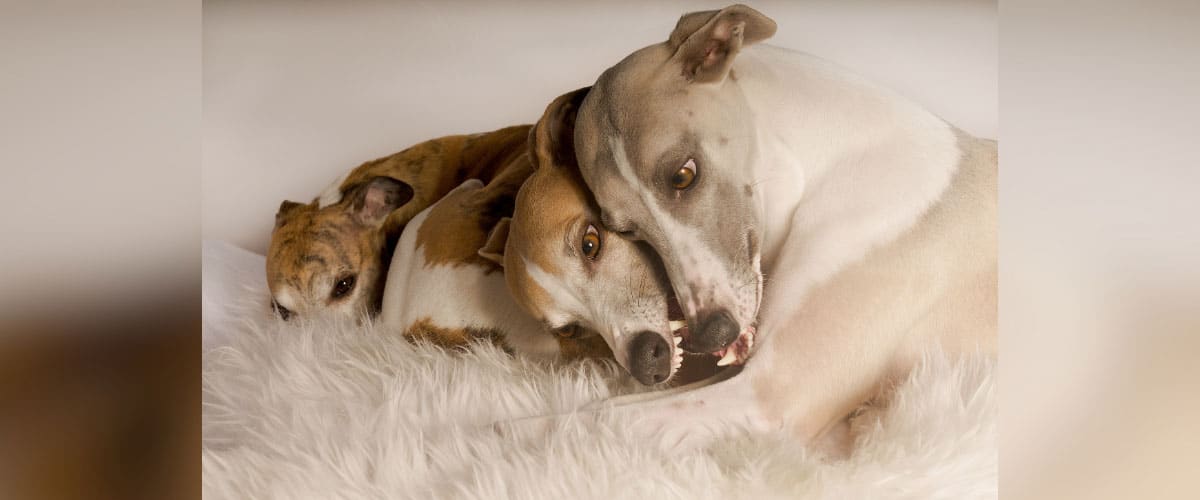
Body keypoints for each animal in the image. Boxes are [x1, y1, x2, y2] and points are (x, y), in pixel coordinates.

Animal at [513, 3, 993, 448]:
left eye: (683, 175)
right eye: (625, 230)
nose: (711, 333)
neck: (833, 163)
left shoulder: (770, 396)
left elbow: (594, 418)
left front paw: (498, 440)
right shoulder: (741, 372)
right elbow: (601, 406)